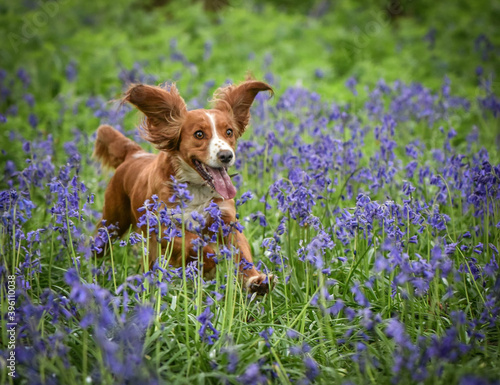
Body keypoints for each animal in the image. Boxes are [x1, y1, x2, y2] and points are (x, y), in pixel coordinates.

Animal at [94, 79, 274, 294]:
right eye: (199, 134)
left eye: (229, 131)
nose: (226, 155)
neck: (196, 188)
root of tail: (134, 154)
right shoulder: (163, 226)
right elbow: (194, 243)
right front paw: (207, 267)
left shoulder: (225, 219)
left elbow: (242, 251)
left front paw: (256, 281)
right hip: (113, 222)